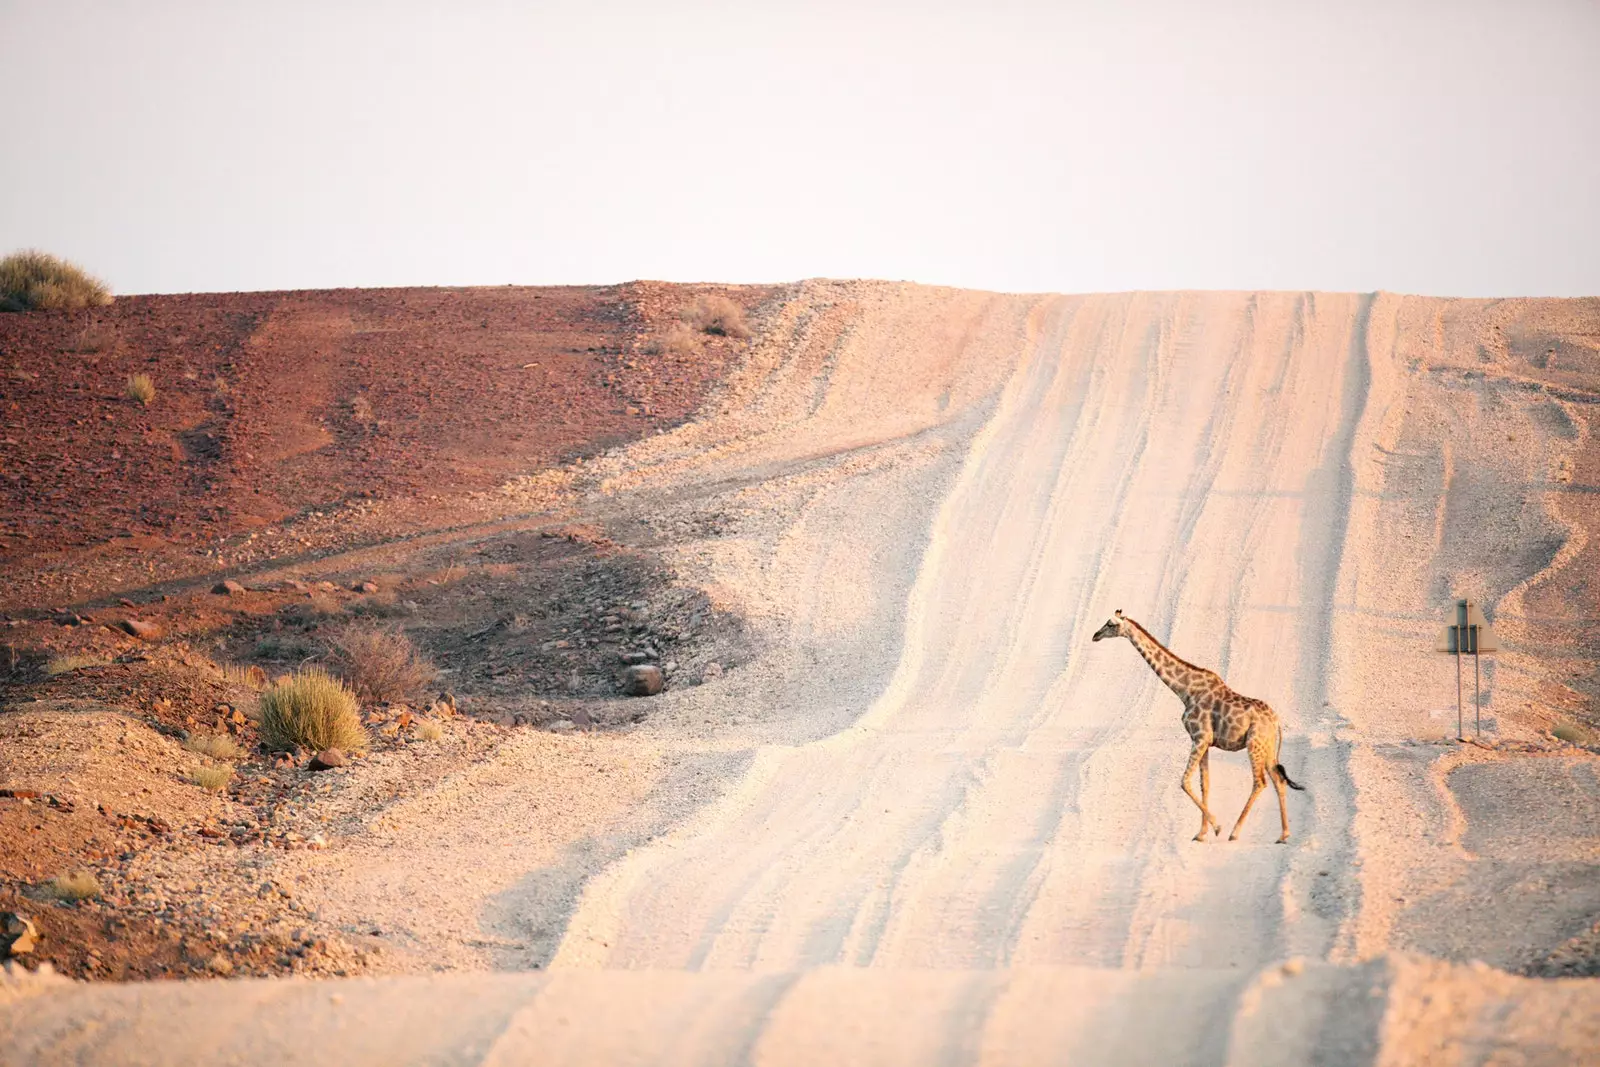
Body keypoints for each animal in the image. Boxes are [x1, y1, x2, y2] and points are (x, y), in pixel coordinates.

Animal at [1094, 607, 1305, 844]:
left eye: (1111, 624)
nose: (1095, 635)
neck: (1185, 690)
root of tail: (1276, 722)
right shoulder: (1205, 741)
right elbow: (1205, 784)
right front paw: (1202, 833)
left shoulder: (1200, 737)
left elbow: (1185, 781)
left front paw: (1217, 827)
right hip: (1267, 748)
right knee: (1279, 780)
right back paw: (1283, 835)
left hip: (1254, 744)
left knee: (1260, 782)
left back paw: (1235, 832)